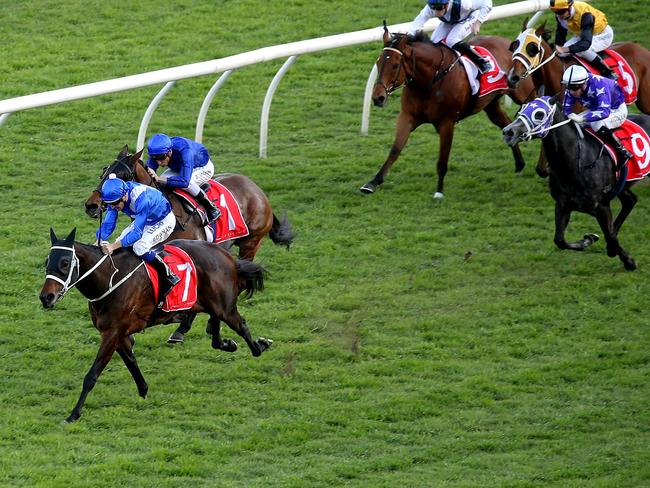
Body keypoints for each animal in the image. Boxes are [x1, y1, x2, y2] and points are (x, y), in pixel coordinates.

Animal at [39, 229, 270, 424]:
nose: (46, 297)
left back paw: (260, 346)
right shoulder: (118, 334)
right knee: (215, 331)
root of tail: (226, 255)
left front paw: (73, 414)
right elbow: (131, 362)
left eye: (65, 263)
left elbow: (92, 375)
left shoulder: (112, 333)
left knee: (241, 325)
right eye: (47, 261)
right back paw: (228, 344)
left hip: (224, 307)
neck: (109, 279)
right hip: (210, 304)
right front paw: (144, 390)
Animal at [360, 26, 536, 198]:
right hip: (491, 105)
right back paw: (520, 164)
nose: (378, 97)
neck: (429, 81)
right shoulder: (407, 117)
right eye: (378, 62)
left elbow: (442, 159)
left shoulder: (447, 123)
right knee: (507, 124)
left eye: (395, 65)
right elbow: (395, 150)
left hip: (524, 95)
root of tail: (511, 42)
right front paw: (372, 183)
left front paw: (439, 191)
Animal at [502, 95, 648, 270]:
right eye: (522, 108)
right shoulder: (563, 204)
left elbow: (610, 237)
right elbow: (560, 240)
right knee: (630, 201)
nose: (508, 132)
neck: (576, 160)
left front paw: (628, 261)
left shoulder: (601, 206)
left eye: (539, 114)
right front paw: (589, 239)